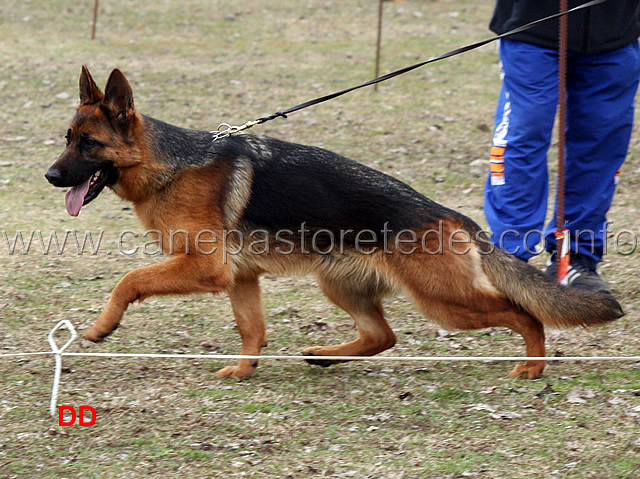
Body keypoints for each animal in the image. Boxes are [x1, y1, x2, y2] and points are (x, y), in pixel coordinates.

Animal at [43, 67, 620, 380]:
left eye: (88, 144)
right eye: (67, 138)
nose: (49, 175)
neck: (167, 165)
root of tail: (449, 215)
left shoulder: (206, 268)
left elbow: (128, 280)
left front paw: (102, 326)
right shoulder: (241, 278)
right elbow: (252, 329)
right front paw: (245, 369)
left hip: (446, 301)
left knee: (523, 313)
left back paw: (535, 365)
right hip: (339, 283)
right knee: (382, 335)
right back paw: (324, 355)